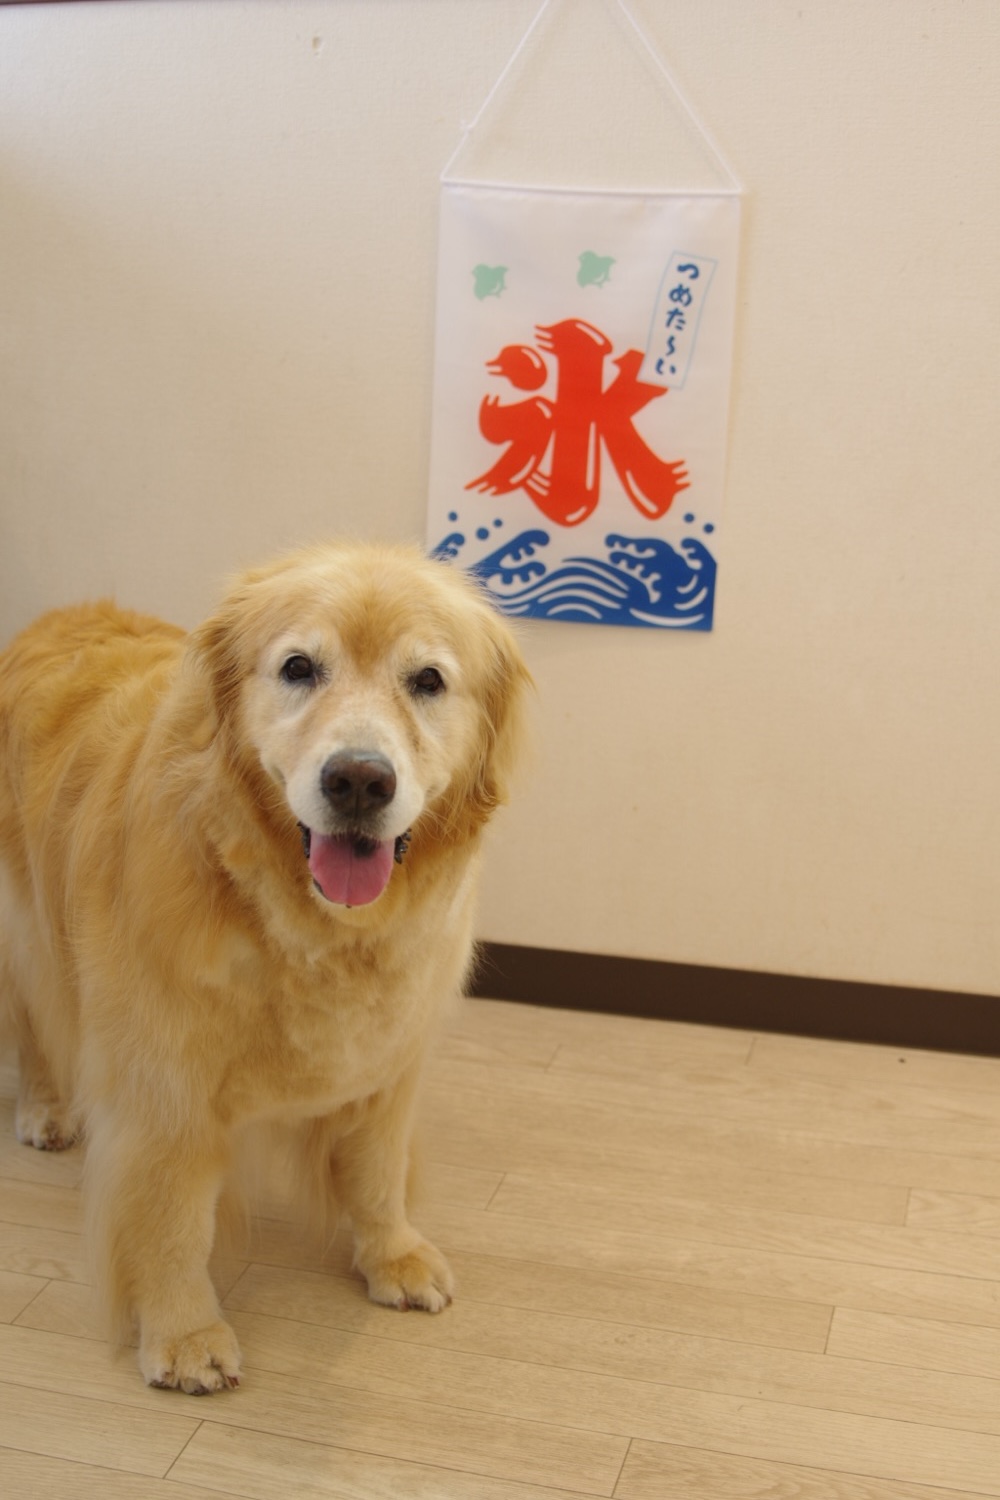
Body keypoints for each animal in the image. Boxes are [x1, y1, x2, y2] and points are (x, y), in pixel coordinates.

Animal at [0, 540, 529, 1393]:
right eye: (298, 667)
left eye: (428, 680)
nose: (358, 780)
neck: (303, 923)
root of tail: (56, 618)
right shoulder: (166, 1087)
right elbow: (173, 1220)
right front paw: (183, 1333)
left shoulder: (389, 1059)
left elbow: (377, 1170)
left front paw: (392, 1255)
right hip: (29, 930)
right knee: (35, 1020)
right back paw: (45, 1109)